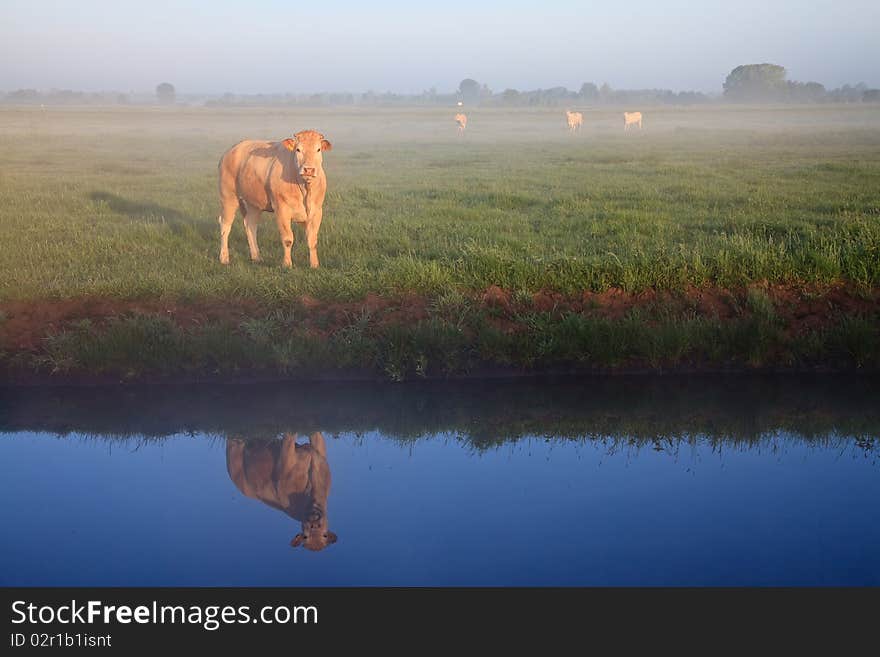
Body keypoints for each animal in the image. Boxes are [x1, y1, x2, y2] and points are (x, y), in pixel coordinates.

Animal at [218, 129, 332, 268]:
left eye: (318, 149)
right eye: (298, 149)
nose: (308, 169)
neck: (305, 188)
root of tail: (233, 149)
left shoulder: (317, 211)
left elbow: (312, 240)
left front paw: (314, 264)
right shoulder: (281, 210)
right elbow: (288, 239)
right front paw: (287, 264)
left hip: (253, 203)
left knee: (250, 225)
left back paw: (256, 257)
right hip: (228, 196)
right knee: (225, 226)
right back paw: (224, 258)